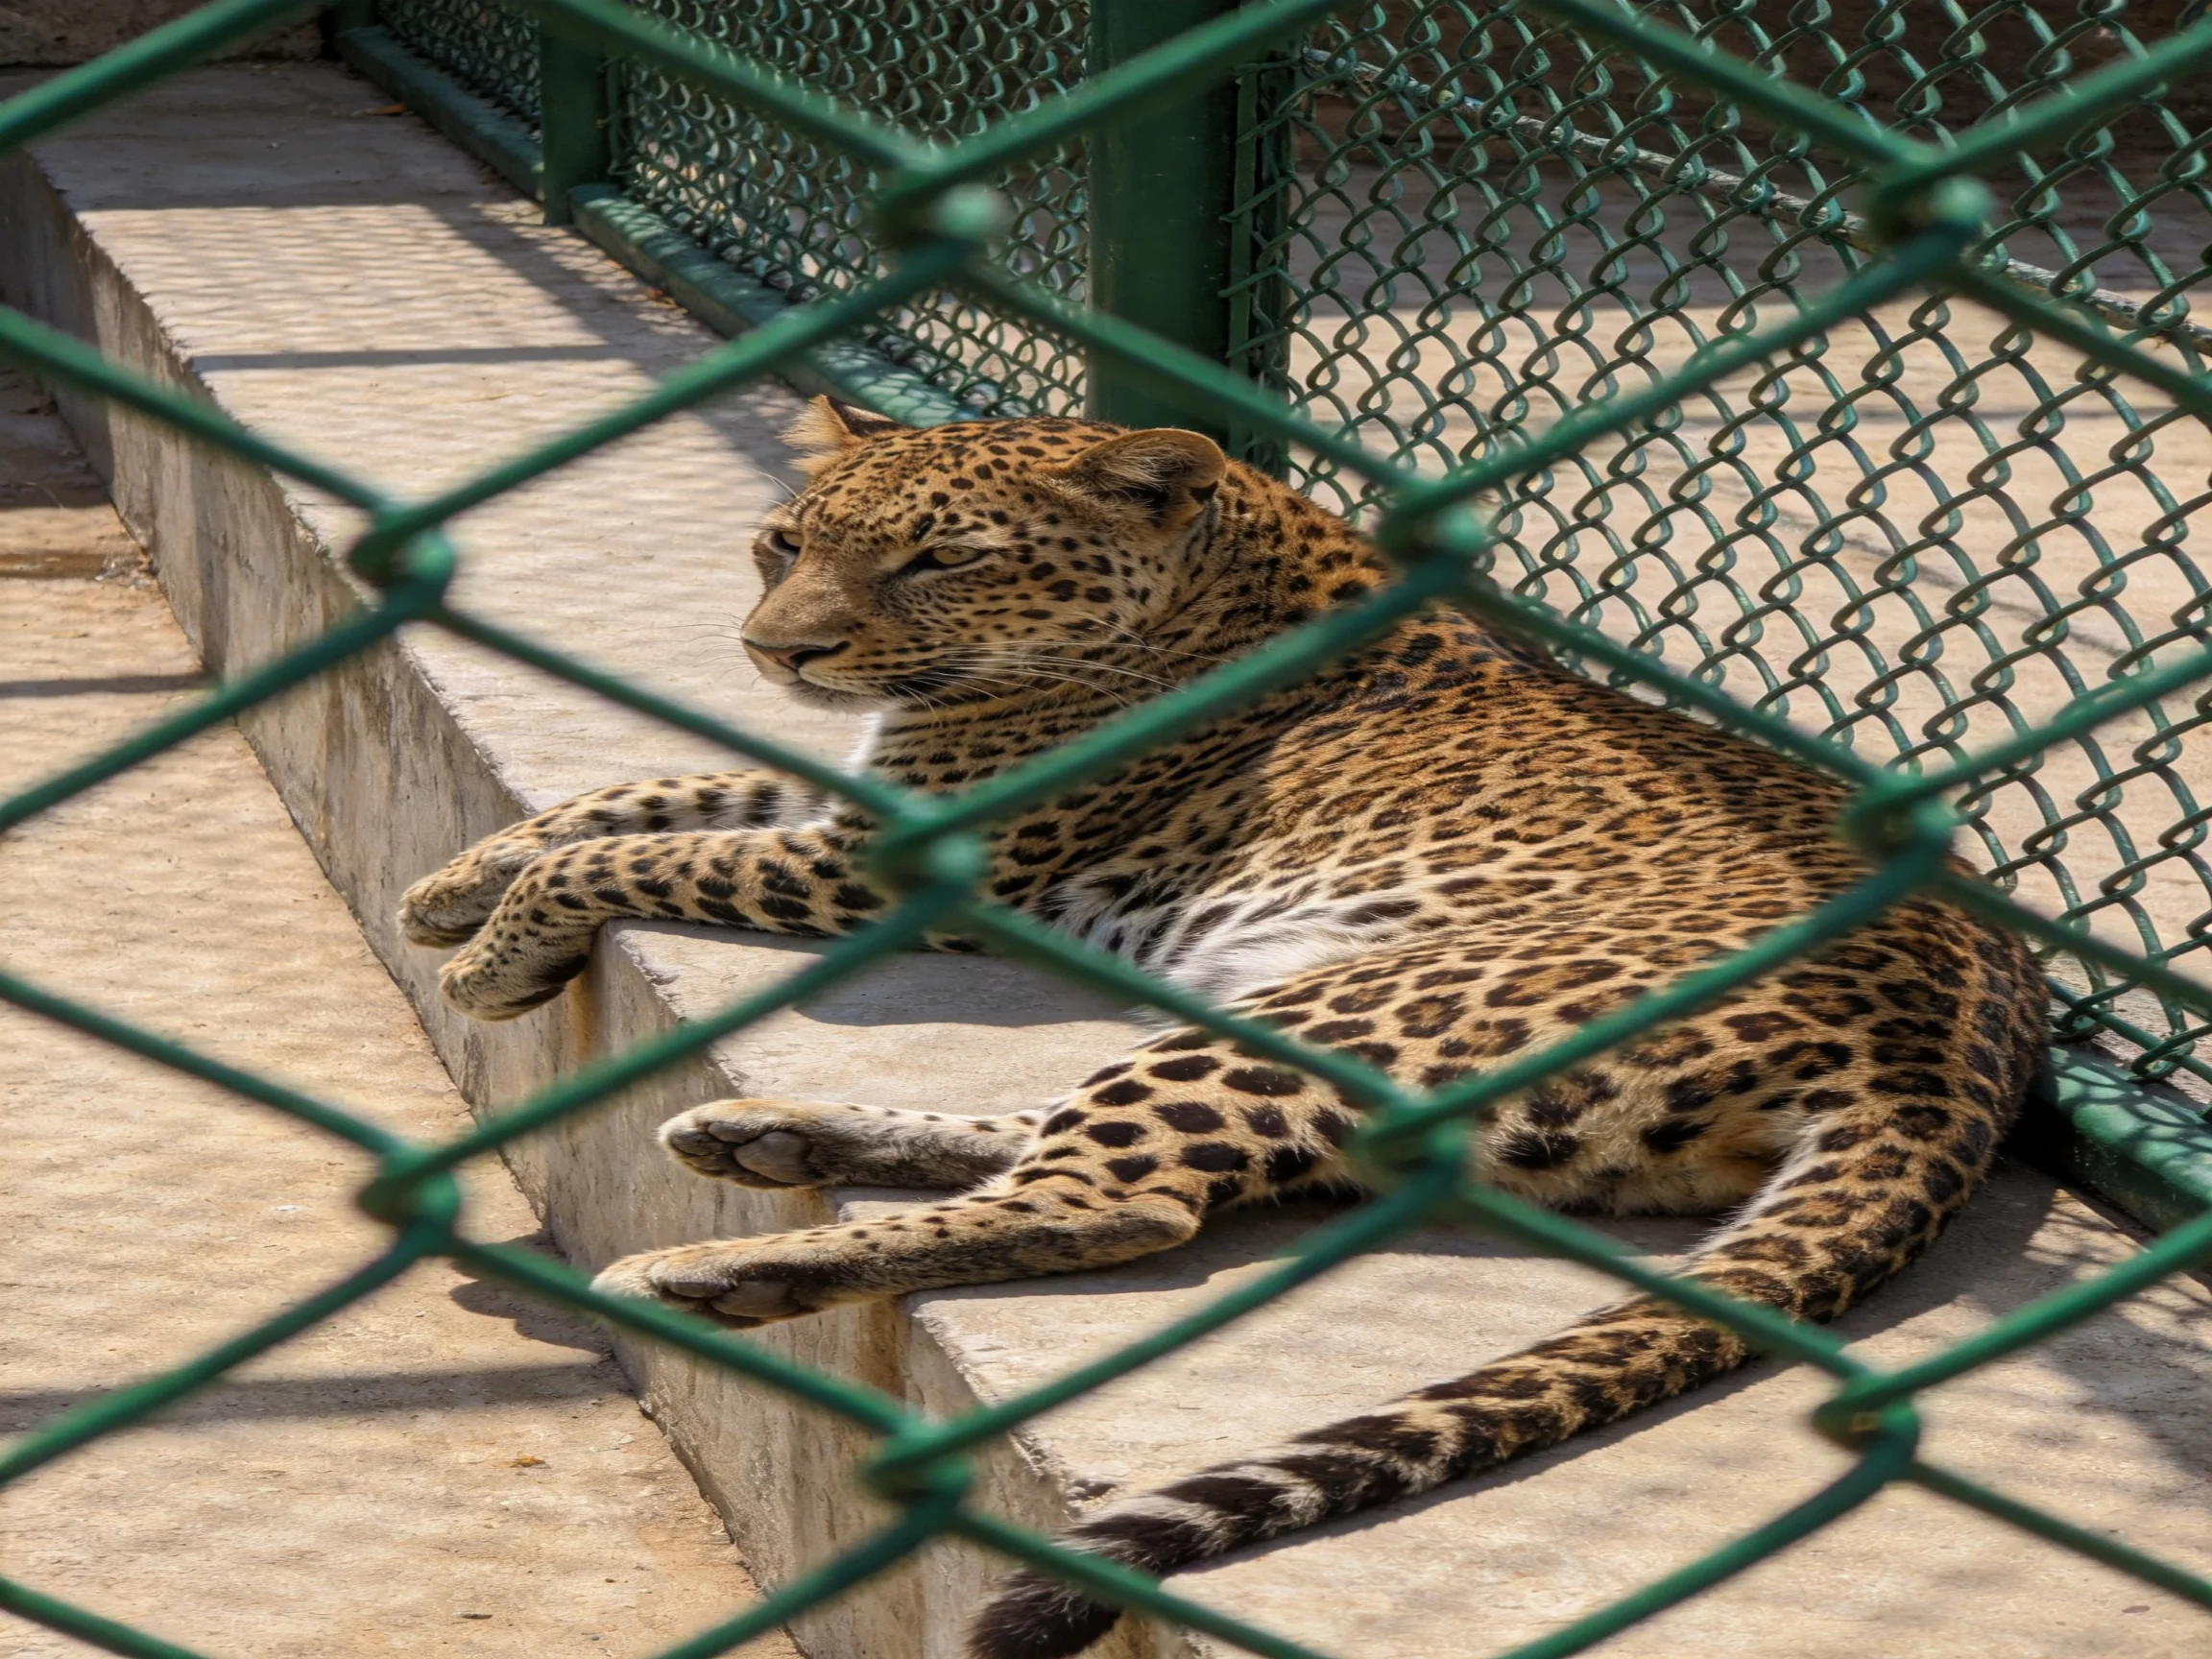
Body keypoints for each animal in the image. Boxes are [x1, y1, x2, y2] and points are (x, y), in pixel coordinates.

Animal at [399, 396, 2048, 1659]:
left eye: (939, 560)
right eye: (785, 541)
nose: (776, 651)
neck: (1229, 566)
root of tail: (1958, 1059)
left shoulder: (898, 858)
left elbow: (647, 845)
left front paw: (497, 947)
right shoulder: (874, 797)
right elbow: (649, 791)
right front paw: (454, 887)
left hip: (1339, 1005)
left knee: (1118, 1202)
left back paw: (708, 1270)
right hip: (1310, 1027)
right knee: (1112, 1161)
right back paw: (771, 1133)